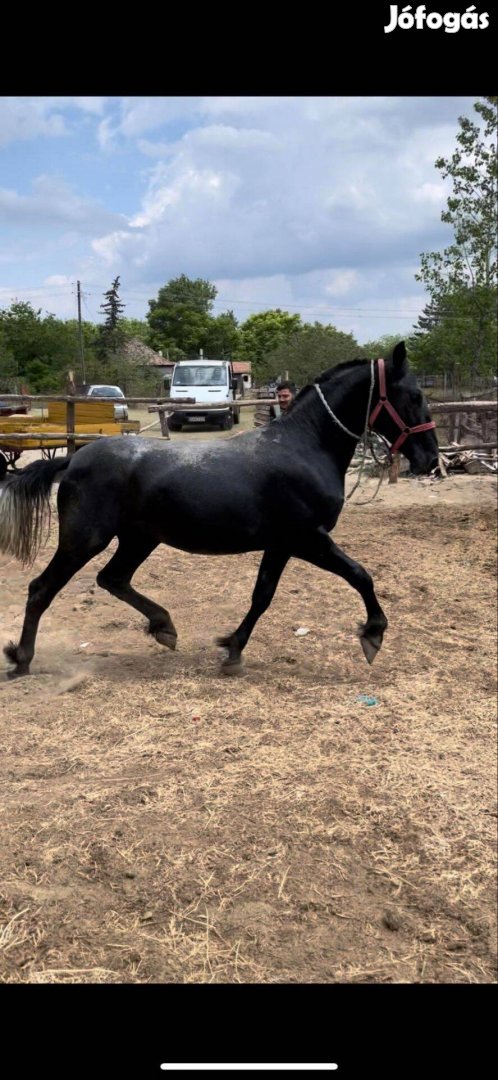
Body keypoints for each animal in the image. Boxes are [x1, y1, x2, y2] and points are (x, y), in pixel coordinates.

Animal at [0, 341, 434, 678]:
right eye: (414, 395)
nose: (429, 458)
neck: (304, 447)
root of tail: (73, 460)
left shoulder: (282, 545)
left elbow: (262, 595)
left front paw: (232, 649)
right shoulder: (307, 539)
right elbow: (360, 576)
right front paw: (373, 634)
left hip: (139, 539)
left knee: (113, 579)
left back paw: (164, 627)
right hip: (84, 540)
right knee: (42, 589)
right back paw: (21, 659)